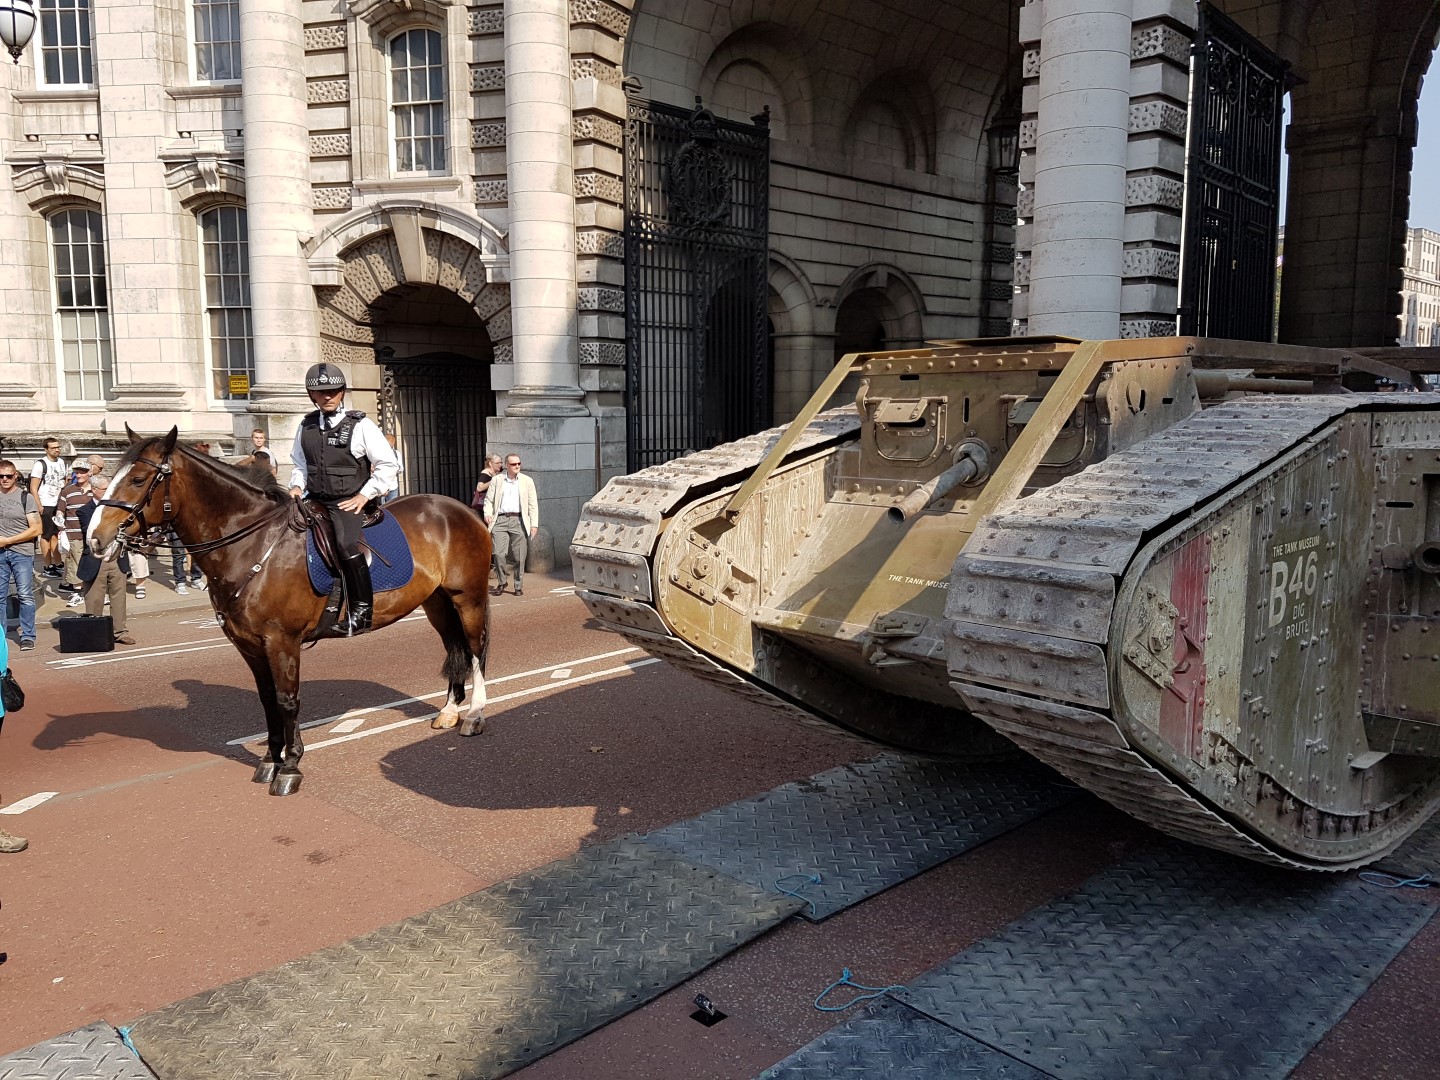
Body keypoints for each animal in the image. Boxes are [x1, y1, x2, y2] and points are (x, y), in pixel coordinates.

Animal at [91, 429, 495, 794]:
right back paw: (450, 711)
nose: (96, 538)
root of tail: (461, 509)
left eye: (138, 479)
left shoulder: (281, 641)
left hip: (468, 598)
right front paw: (270, 760)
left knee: (475, 650)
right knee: (454, 648)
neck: (251, 545)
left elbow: (287, 701)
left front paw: (290, 766)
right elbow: (268, 700)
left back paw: (473, 715)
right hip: (437, 603)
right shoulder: (249, 644)